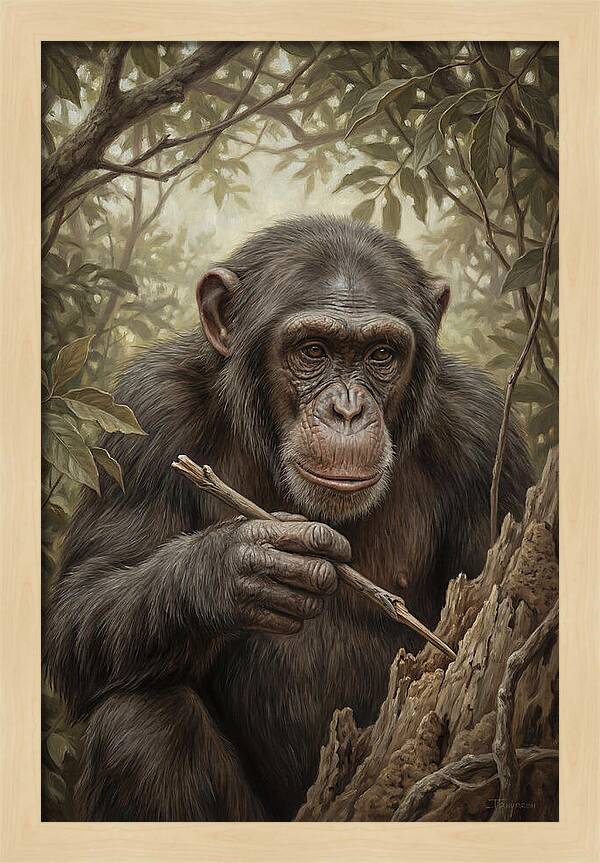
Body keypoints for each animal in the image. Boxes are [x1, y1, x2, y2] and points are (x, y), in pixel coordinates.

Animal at [43, 215, 533, 821]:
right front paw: (238, 568)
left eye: (380, 355)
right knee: (139, 723)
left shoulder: (487, 437)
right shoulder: (147, 412)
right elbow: (79, 605)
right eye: (313, 350)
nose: (347, 409)